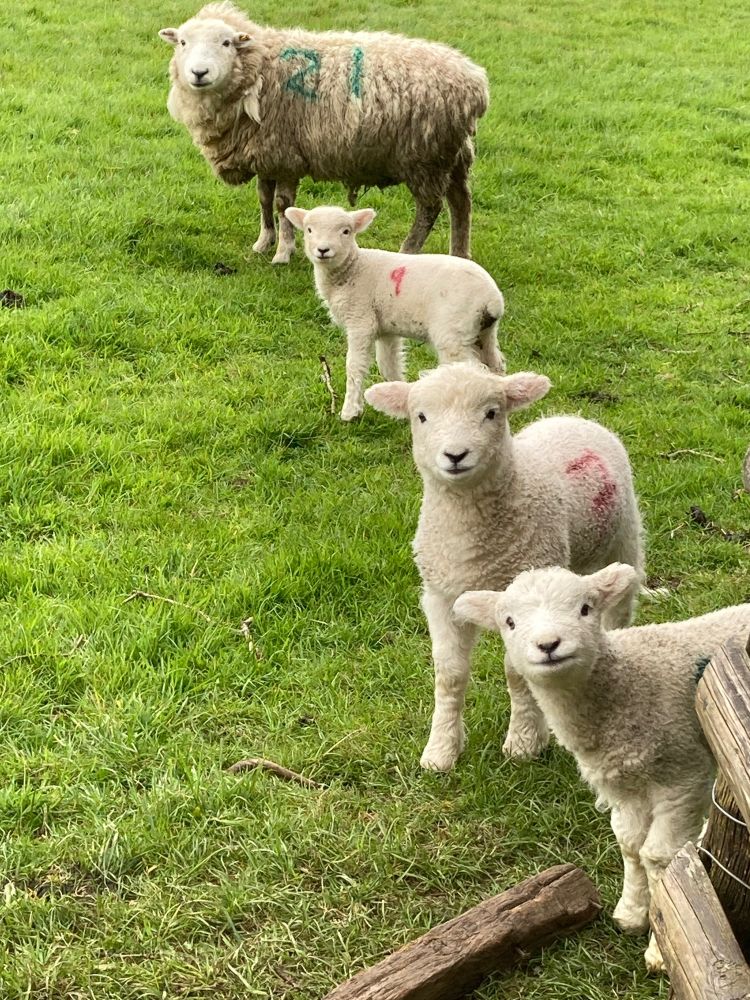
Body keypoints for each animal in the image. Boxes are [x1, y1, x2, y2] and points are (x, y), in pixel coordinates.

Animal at [159, 3, 489, 264]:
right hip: (453, 153)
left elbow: (283, 204)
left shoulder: (286, 155)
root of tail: (475, 81)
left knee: (430, 209)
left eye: (226, 43)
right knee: (461, 202)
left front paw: (283, 252)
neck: (261, 67)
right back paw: (460, 254)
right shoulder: (265, 151)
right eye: (183, 42)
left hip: (425, 155)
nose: (199, 73)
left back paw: (408, 251)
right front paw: (263, 242)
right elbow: (263, 197)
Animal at [285, 205, 505, 420]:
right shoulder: (386, 329)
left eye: (346, 231)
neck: (353, 268)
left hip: (454, 331)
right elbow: (388, 364)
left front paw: (350, 411)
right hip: (483, 331)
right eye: (309, 230)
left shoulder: (360, 319)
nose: (323, 250)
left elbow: (354, 365)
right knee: (497, 365)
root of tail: (492, 299)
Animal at [364, 363, 645, 772]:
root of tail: (569, 417)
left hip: (623, 540)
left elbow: (516, 673)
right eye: (421, 416)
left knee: (619, 609)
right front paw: (441, 749)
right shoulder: (440, 597)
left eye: (491, 413)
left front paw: (524, 741)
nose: (455, 455)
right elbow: (449, 675)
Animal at [453, 563, 750, 971]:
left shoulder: (684, 774)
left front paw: (663, 947)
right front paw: (634, 913)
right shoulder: (625, 783)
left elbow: (660, 856)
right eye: (509, 622)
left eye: (585, 609)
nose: (548, 645)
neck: (626, 686)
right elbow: (631, 846)